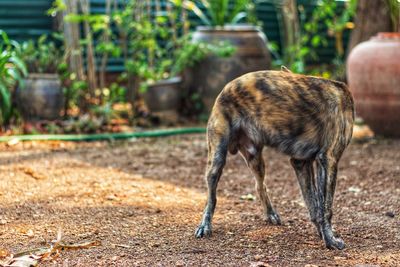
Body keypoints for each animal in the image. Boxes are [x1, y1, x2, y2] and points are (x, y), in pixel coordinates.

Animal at [195, 67, 354, 251]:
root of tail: (226, 88)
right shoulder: (329, 159)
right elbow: (326, 208)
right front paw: (330, 240)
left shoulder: (301, 163)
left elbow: (314, 205)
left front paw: (322, 234)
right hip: (217, 161)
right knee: (211, 198)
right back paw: (205, 225)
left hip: (255, 160)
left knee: (260, 186)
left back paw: (270, 214)